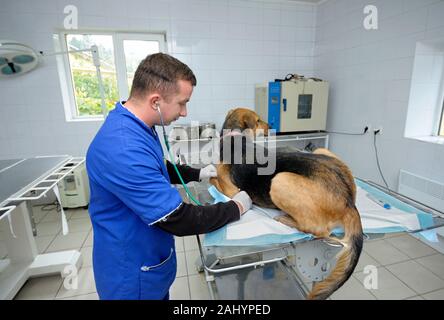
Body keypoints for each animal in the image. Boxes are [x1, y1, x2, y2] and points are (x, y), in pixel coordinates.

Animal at [210, 107, 362, 300]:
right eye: (258, 120)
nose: (271, 126)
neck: (235, 134)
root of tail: (348, 199)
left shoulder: (232, 191)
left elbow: (212, 179)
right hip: (322, 152)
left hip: (279, 180)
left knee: (318, 230)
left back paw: (285, 219)